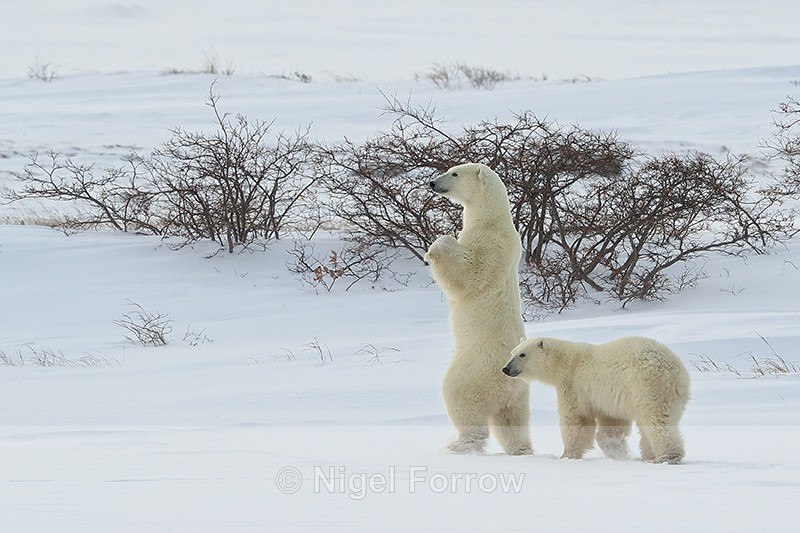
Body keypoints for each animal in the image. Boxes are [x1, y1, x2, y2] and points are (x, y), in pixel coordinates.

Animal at [424, 162, 532, 455]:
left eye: (454, 173)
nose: (432, 183)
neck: (491, 218)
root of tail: (508, 376)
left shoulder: (489, 244)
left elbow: (469, 272)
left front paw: (431, 251)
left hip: (474, 371)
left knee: (460, 400)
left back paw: (459, 445)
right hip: (519, 392)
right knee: (513, 422)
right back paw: (521, 450)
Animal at [502, 336, 690, 464]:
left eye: (522, 354)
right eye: (511, 353)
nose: (505, 369)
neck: (564, 361)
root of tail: (676, 372)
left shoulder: (574, 384)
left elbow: (576, 419)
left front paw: (566, 455)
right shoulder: (608, 399)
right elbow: (612, 423)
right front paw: (615, 450)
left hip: (647, 386)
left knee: (656, 420)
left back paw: (667, 456)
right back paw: (648, 456)